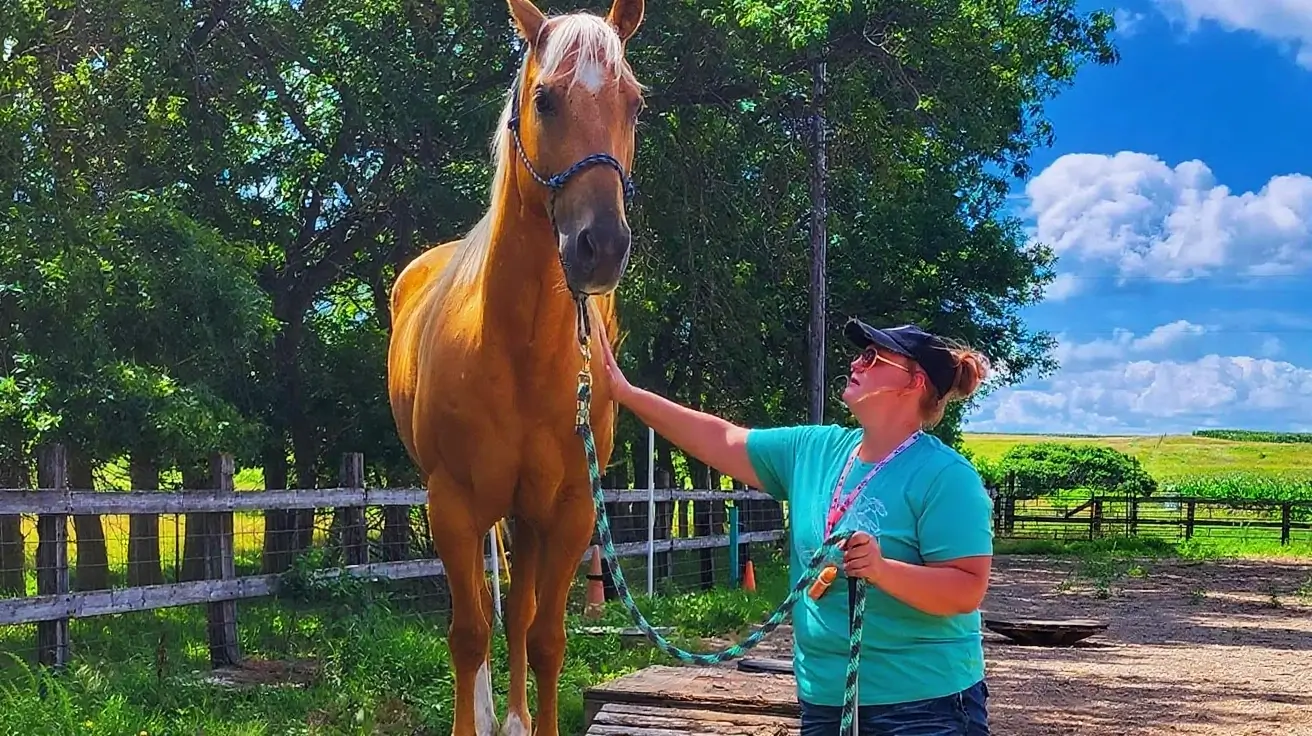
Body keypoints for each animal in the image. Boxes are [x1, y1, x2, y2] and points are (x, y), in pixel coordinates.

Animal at [386, 0, 645, 734]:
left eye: (635, 104)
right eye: (544, 98)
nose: (600, 246)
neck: (521, 350)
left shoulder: (570, 509)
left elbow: (546, 635)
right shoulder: (452, 503)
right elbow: (469, 632)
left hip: (528, 516)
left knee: (522, 612)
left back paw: (515, 718)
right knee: (477, 608)